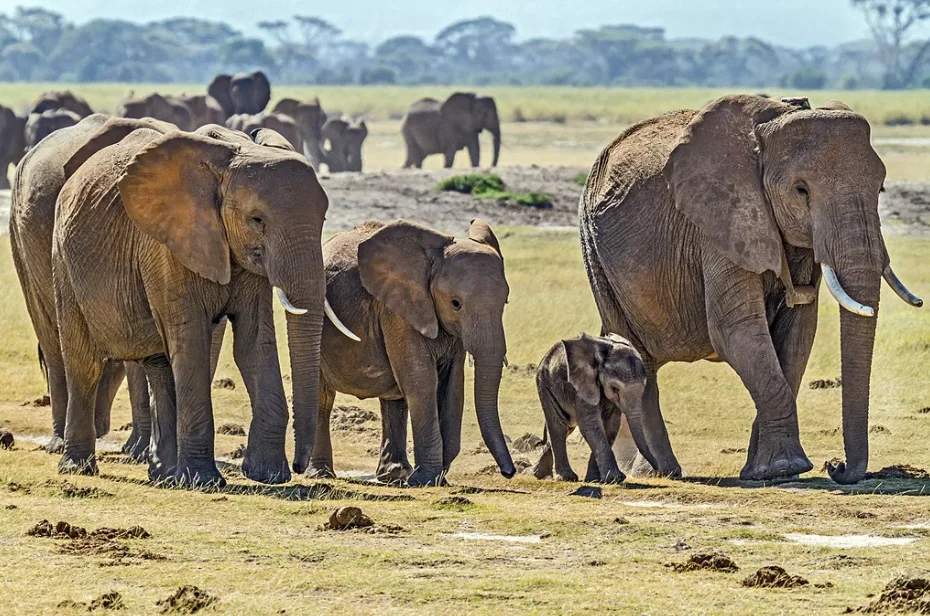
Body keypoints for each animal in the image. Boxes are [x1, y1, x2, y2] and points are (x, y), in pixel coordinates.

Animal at [50, 119, 358, 486]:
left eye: (323, 220)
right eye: (257, 219)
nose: (300, 467)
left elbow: (254, 342)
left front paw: (268, 475)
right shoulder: (167, 245)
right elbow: (192, 338)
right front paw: (204, 481)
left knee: (160, 364)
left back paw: (164, 476)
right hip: (63, 259)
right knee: (84, 360)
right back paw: (78, 467)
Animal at [311, 219, 516, 486]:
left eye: (506, 301)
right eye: (455, 303)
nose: (509, 473)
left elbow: (452, 385)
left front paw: (436, 478)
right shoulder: (397, 310)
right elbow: (421, 380)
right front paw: (425, 479)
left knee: (394, 396)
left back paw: (394, 475)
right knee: (323, 395)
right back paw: (321, 473)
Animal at [530, 333, 656, 484]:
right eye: (615, 388)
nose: (656, 469)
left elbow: (611, 426)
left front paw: (594, 480)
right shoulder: (582, 386)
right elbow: (590, 424)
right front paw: (615, 478)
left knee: (566, 427)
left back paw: (539, 474)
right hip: (544, 383)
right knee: (559, 425)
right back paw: (566, 477)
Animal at [578, 94, 921, 484]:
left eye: (880, 188)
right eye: (801, 190)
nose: (837, 466)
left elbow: (798, 334)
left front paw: (767, 472)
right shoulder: (720, 222)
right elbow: (737, 331)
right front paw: (786, 468)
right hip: (594, 251)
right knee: (637, 356)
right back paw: (664, 472)